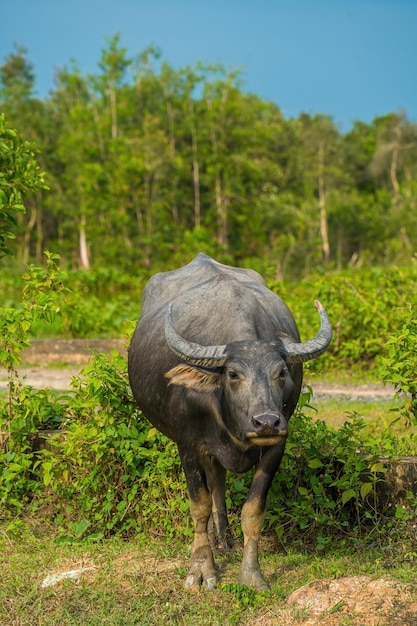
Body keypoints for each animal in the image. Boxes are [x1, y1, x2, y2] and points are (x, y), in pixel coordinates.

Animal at [127, 251, 332, 588]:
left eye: (281, 372)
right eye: (233, 374)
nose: (266, 422)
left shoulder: (276, 445)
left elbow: (253, 510)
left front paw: (251, 574)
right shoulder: (188, 444)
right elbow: (198, 505)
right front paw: (201, 570)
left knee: (218, 480)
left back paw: (224, 538)